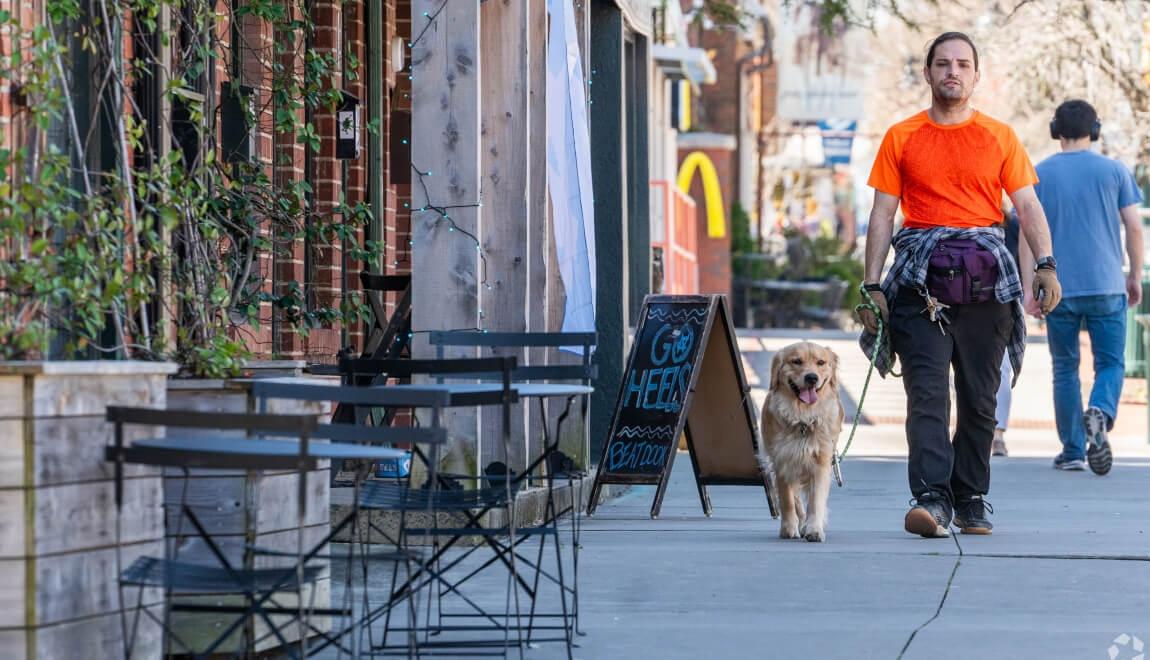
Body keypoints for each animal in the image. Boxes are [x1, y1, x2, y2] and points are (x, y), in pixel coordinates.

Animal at [759, 340, 841, 542]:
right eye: (796, 361)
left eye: (821, 362)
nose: (812, 377)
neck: (802, 417)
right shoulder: (782, 461)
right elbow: (787, 500)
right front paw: (789, 528)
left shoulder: (821, 462)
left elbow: (816, 501)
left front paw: (814, 530)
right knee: (795, 499)